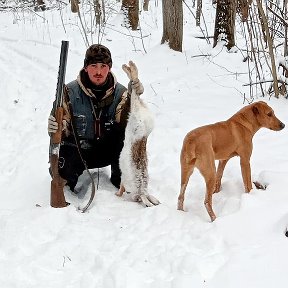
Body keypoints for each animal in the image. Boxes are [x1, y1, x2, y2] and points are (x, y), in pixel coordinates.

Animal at [115, 61, 160, 207]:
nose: (138, 199)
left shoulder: (124, 179)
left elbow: (121, 186)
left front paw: (118, 194)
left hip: (136, 116)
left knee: (135, 96)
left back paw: (129, 68)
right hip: (139, 114)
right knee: (136, 96)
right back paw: (130, 68)